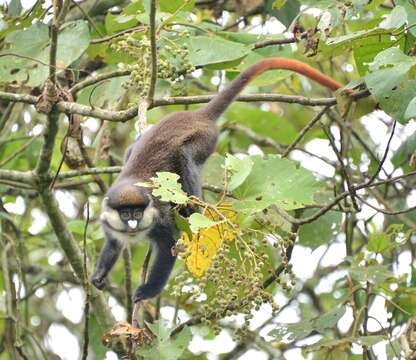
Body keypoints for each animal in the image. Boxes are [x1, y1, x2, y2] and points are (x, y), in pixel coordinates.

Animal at [90, 57, 344, 302]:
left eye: (137, 213)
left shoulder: (158, 222)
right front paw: (99, 276)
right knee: (131, 151)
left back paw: (193, 209)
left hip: (205, 139)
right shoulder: (108, 221)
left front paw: (147, 291)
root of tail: (198, 114)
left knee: (185, 154)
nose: (133, 224)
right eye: (126, 214)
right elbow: (112, 245)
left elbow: (168, 246)